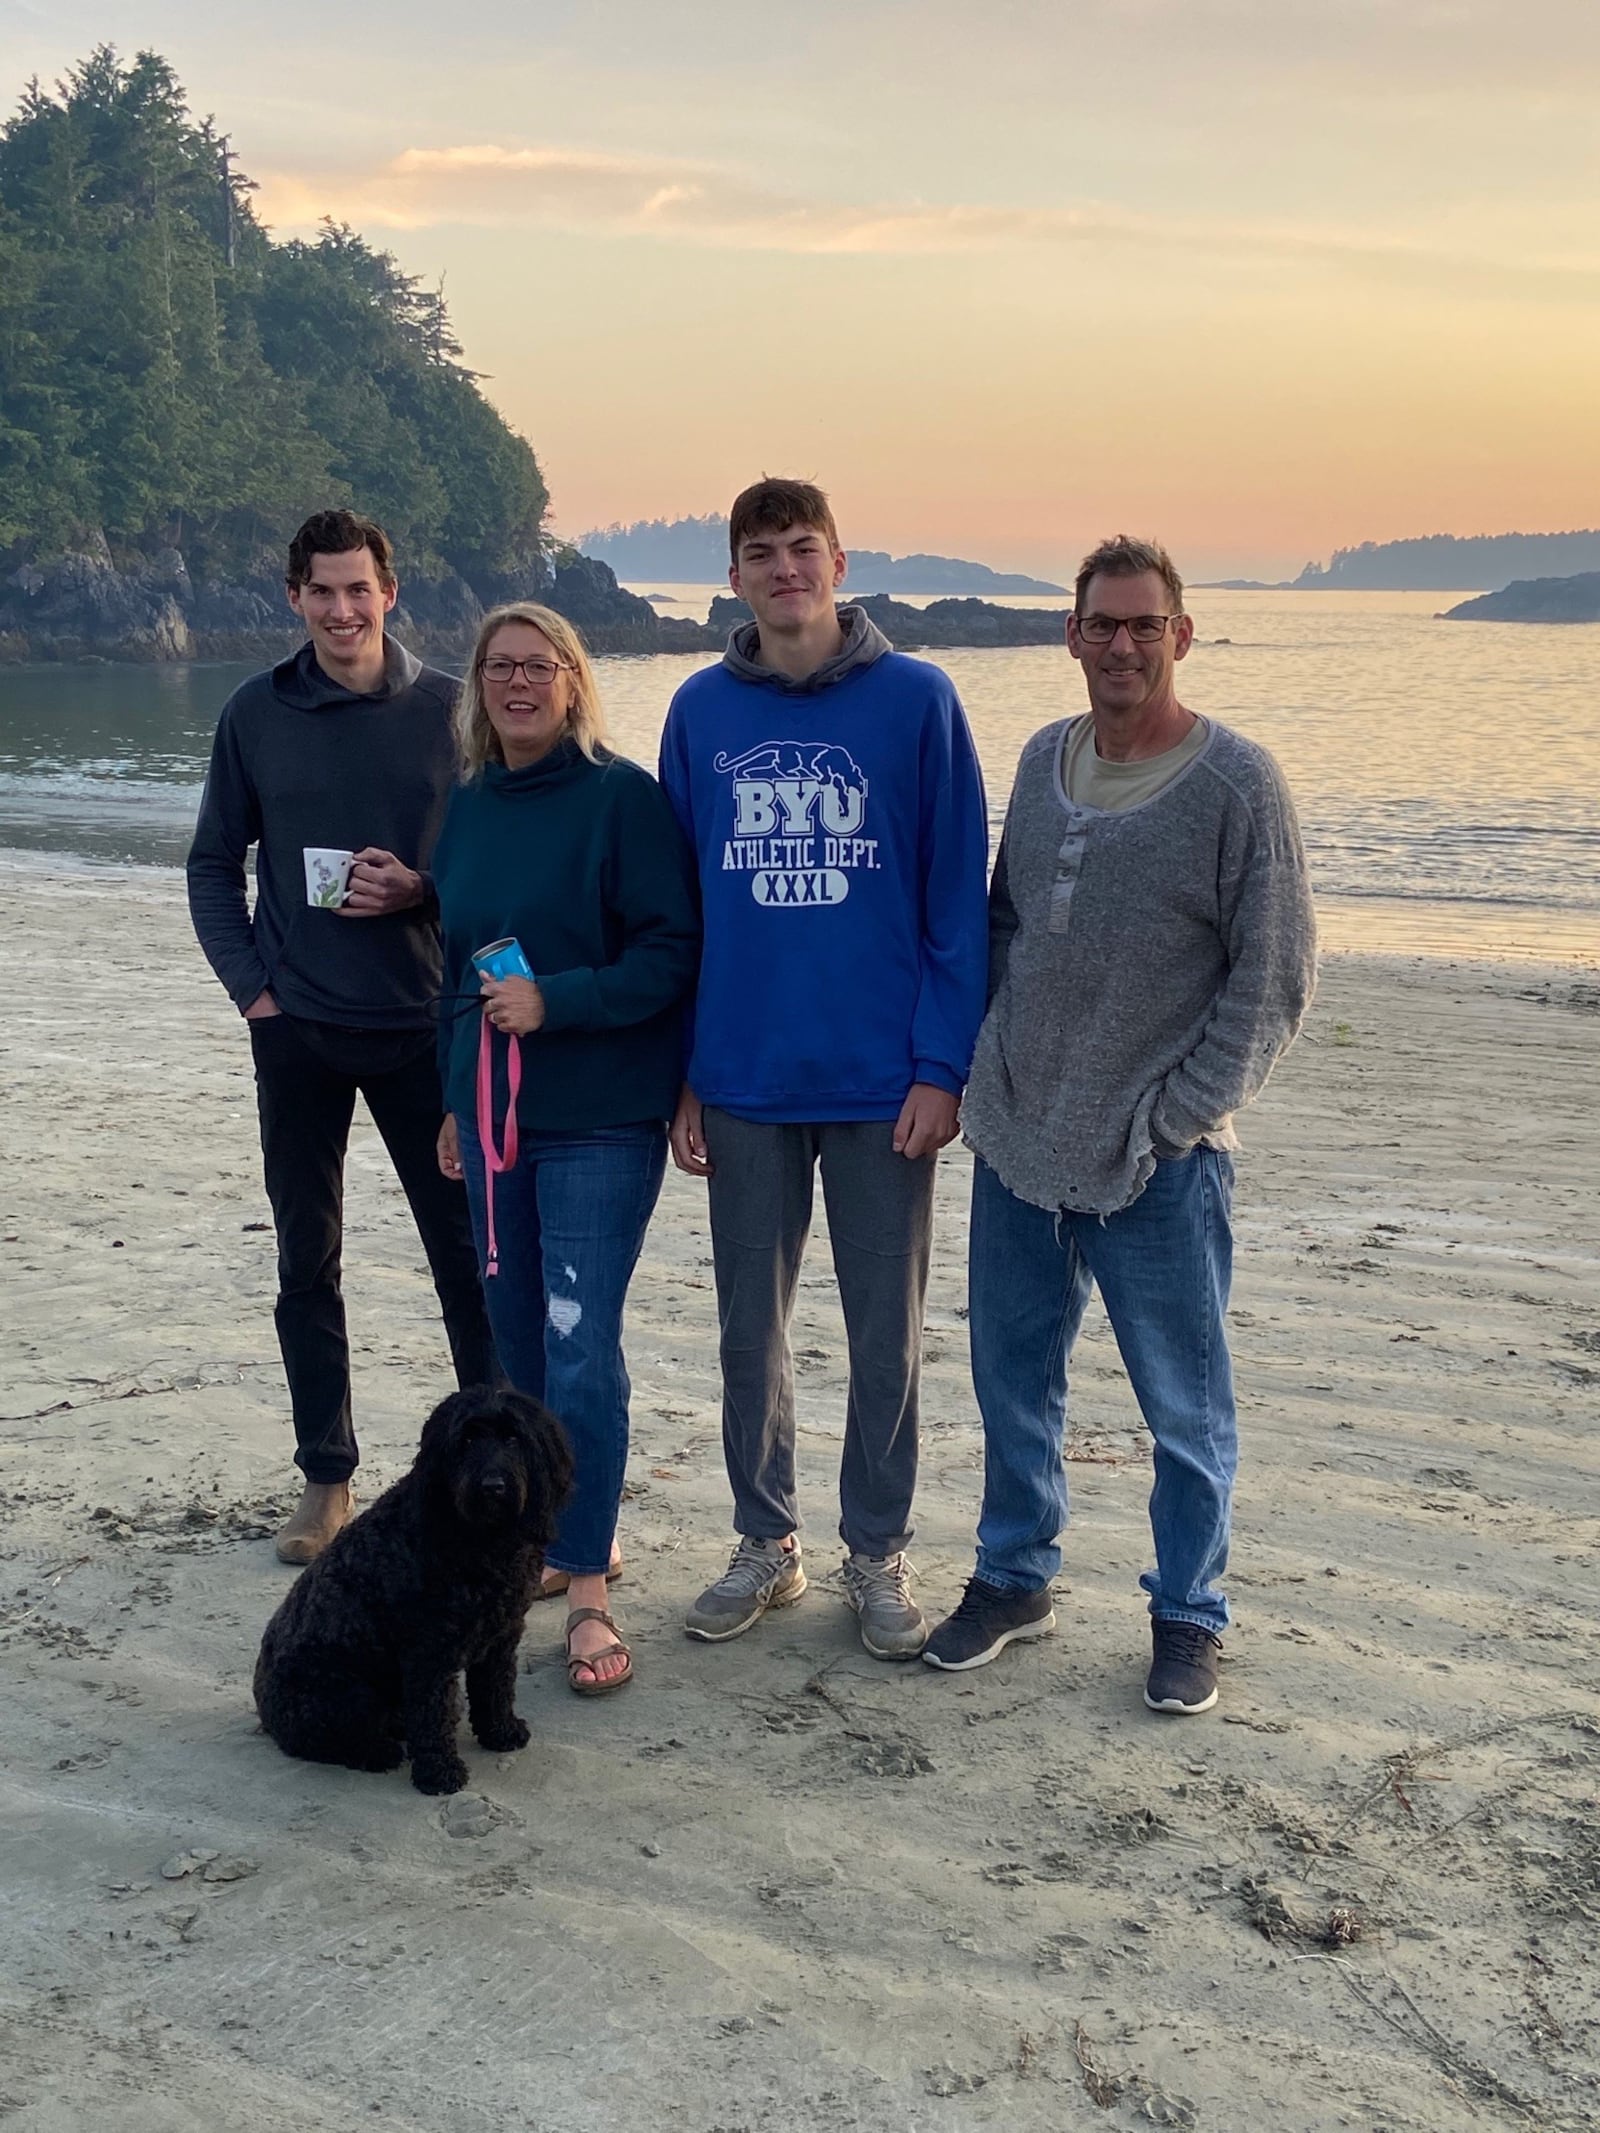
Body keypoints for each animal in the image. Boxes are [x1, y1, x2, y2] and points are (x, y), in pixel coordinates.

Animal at [253, 1390, 571, 1791]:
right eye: (466, 1441)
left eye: (513, 1438)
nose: (493, 1487)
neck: (478, 1537)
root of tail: (263, 1708)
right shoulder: (428, 1652)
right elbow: (433, 1714)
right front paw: (439, 1771)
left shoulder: (501, 1635)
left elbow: (495, 1688)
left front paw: (500, 1731)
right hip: (345, 1693)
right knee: (327, 1741)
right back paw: (379, 1751)